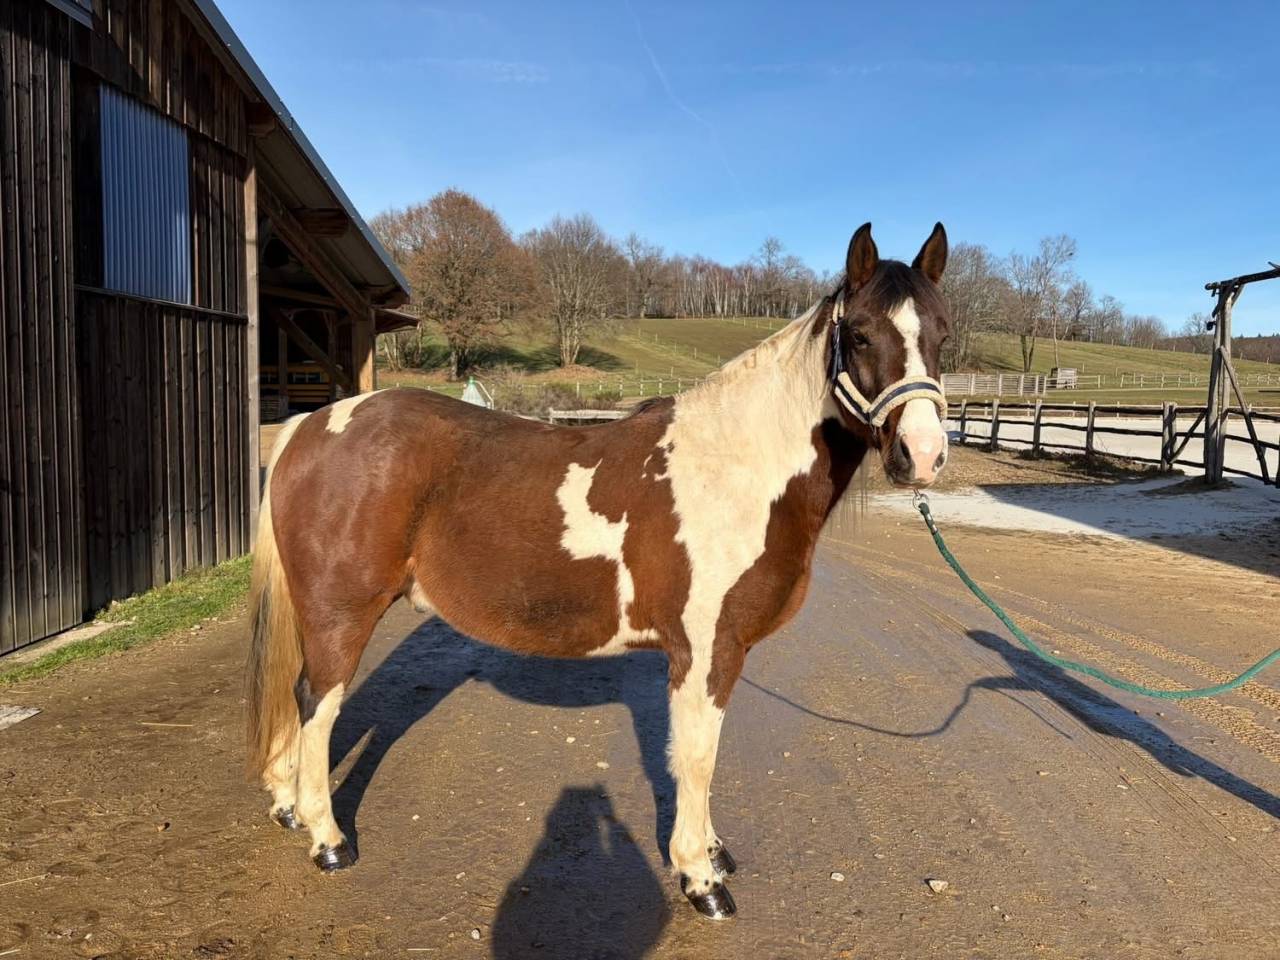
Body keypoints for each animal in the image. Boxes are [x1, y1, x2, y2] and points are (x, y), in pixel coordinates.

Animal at [245, 221, 952, 919]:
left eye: (943, 334)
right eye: (859, 334)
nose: (922, 455)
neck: (738, 467)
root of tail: (312, 423)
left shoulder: (720, 652)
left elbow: (703, 751)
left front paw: (712, 852)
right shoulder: (705, 649)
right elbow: (696, 756)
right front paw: (700, 878)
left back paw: (287, 807)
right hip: (341, 613)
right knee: (316, 703)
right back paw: (328, 840)